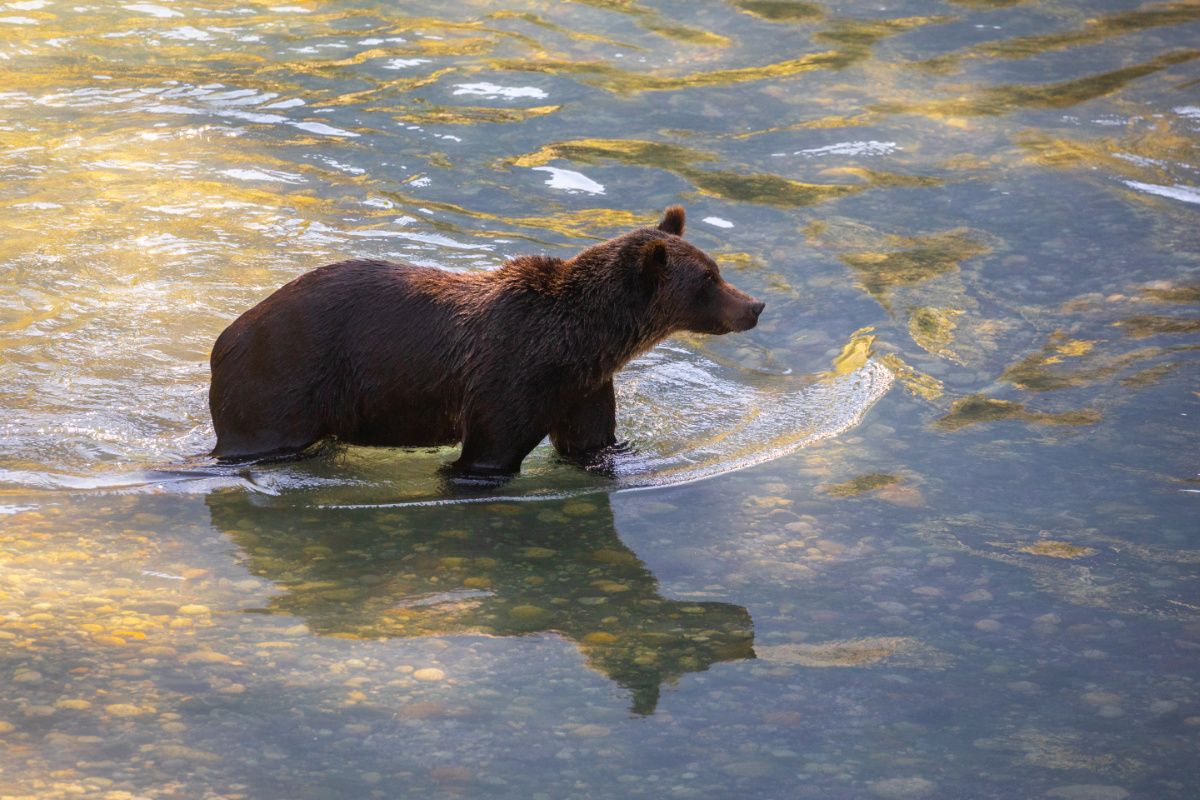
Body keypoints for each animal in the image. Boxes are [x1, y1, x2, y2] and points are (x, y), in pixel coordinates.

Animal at [207, 209, 763, 479]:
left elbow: (591, 441)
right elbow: (489, 452)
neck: (583, 341)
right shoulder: (512, 374)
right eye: (709, 278)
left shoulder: (582, 385)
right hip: (282, 381)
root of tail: (224, 339)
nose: (755, 305)